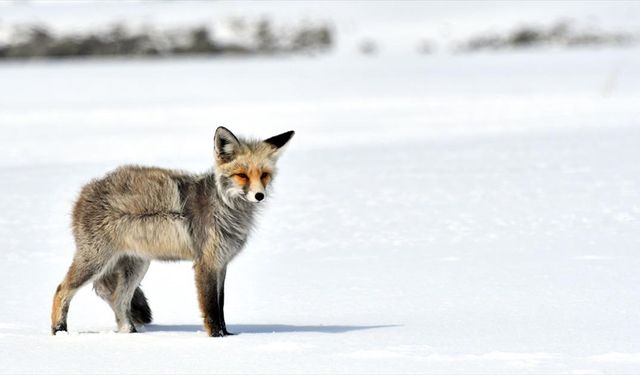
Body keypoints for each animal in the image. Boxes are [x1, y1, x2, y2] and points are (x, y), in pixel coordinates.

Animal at [50, 127, 296, 338]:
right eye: (242, 175)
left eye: (264, 175)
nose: (259, 196)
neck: (226, 207)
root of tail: (84, 191)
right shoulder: (206, 263)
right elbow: (211, 309)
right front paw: (217, 338)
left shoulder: (221, 263)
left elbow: (221, 305)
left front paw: (228, 335)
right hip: (95, 261)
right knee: (62, 289)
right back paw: (59, 331)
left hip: (136, 265)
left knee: (119, 300)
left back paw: (130, 333)